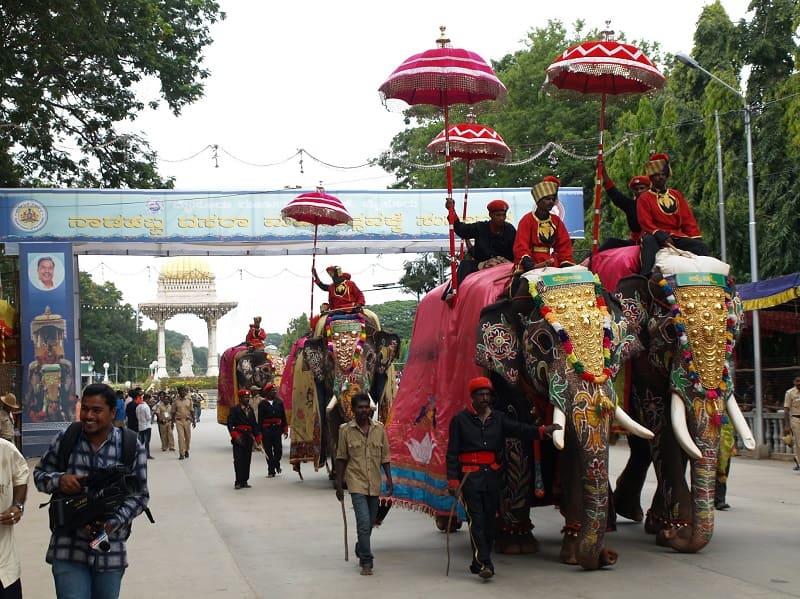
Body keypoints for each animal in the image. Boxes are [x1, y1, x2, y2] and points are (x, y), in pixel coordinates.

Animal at [384, 264, 652, 572]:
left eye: (609, 339)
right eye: (544, 342)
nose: (610, 556)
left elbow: (573, 450)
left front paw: (574, 554)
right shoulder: (503, 377)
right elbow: (516, 441)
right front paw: (517, 546)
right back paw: (450, 522)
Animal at [592, 247, 756, 552]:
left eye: (734, 330)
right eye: (670, 332)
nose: (674, 538)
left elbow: (680, 436)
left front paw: (665, 528)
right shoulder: (642, 357)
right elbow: (663, 423)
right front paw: (676, 530)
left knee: (641, 443)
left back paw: (634, 513)